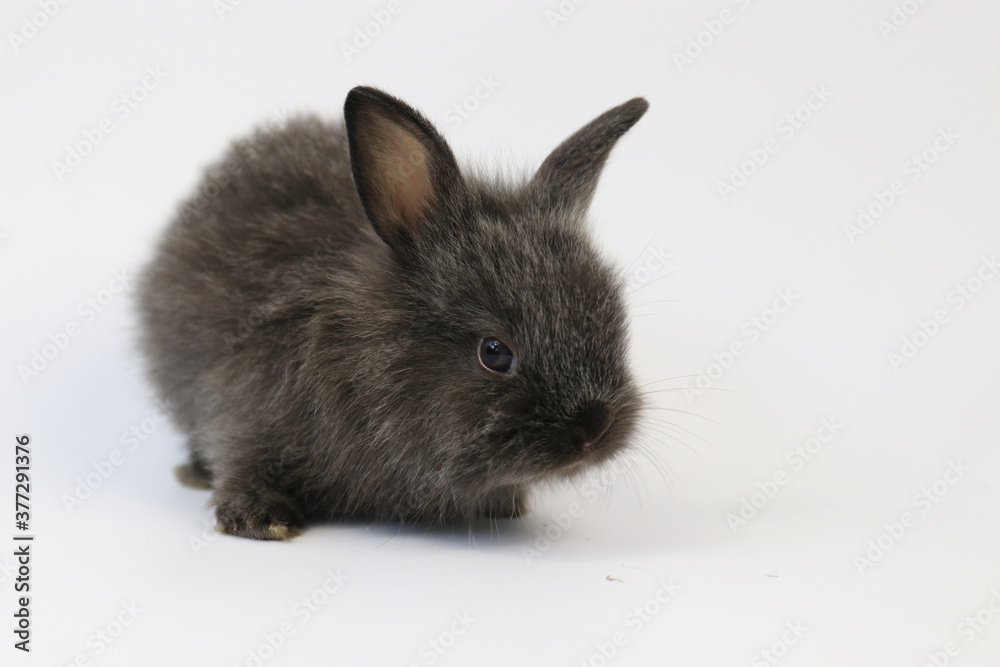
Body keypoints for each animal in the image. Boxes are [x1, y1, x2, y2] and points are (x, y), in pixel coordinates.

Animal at [138, 86, 648, 540]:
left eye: (615, 324)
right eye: (494, 352)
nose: (593, 430)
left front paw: (503, 503)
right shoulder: (246, 405)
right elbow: (241, 460)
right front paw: (260, 520)